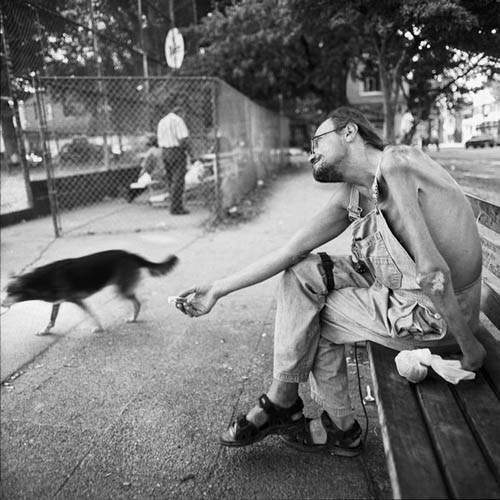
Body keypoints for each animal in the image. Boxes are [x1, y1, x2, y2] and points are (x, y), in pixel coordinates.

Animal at [2, 250, 178, 335]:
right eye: (5, 292)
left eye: (10, 293)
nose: (2, 304)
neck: (40, 280)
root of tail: (130, 254)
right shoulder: (57, 302)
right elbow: (51, 320)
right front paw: (45, 331)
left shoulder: (77, 300)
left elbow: (91, 315)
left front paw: (99, 328)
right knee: (137, 301)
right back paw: (134, 318)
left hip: (121, 290)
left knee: (138, 302)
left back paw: (134, 318)